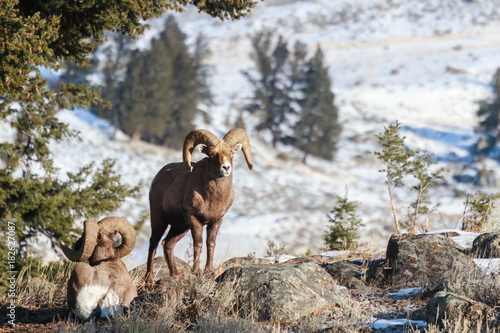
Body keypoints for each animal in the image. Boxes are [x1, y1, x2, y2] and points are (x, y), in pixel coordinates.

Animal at [146, 127, 254, 282]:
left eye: (232, 153)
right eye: (212, 154)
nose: (226, 168)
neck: (212, 197)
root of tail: (157, 176)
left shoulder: (216, 220)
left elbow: (210, 244)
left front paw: (209, 272)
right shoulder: (193, 219)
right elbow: (198, 244)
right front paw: (196, 272)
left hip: (180, 227)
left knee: (168, 244)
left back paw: (175, 274)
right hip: (160, 221)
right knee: (153, 245)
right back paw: (149, 280)